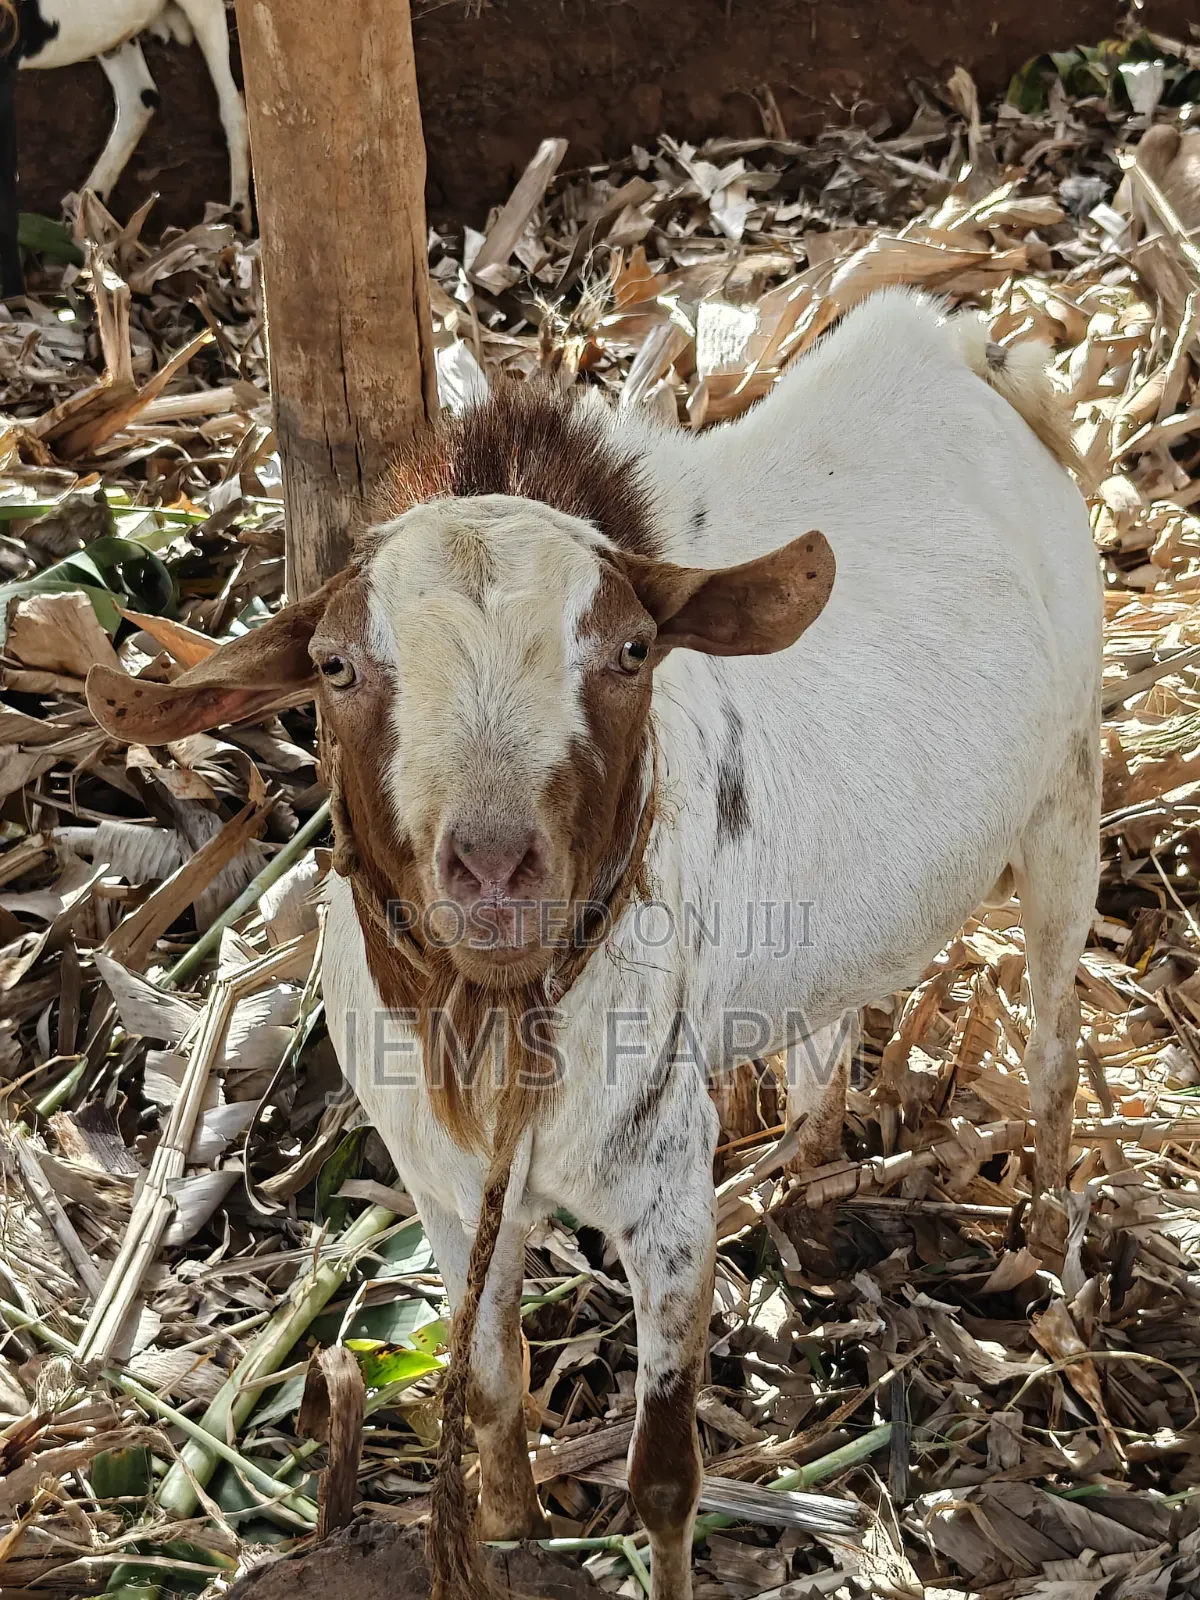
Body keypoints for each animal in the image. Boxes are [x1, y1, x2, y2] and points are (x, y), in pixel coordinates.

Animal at [0, 0, 248, 294]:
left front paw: (12, 293)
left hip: (203, 12)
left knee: (232, 107)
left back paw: (240, 217)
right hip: (113, 33)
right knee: (140, 98)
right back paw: (86, 219)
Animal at [87, 289, 1102, 1600]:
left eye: (628, 652)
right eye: (335, 665)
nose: (491, 868)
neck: (494, 1021)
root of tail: (949, 343)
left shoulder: (662, 1194)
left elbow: (663, 1474)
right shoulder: (439, 1184)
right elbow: (494, 1381)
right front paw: (515, 1530)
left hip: (1070, 788)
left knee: (1055, 1047)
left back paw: (1051, 1255)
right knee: (835, 1021)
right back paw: (809, 1160)